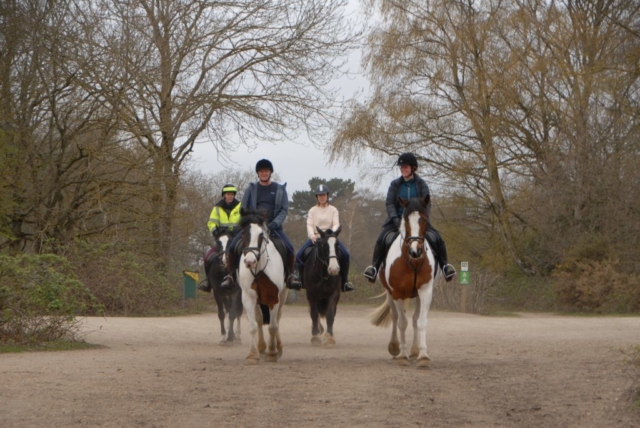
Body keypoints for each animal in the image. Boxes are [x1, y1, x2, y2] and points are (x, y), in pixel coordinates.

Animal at [236, 209, 288, 362]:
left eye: (261, 235)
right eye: (243, 233)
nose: (250, 261)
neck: (259, 269)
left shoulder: (273, 297)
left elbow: (273, 326)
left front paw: (272, 352)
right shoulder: (248, 297)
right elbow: (253, 325)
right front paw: (253, 354)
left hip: (283, 295)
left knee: (277, 319)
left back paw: (278, 347)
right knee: (259, 320)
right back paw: (261, 347)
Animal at [368, 196, 438, 366]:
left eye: (424, 219)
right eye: (405, 220)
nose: (416, 251)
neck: (411, 260)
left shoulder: (425, 291)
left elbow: (421, 321)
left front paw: (423, 355)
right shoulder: (398, 292)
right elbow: (401, 322)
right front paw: (402, 355)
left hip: (416, 295)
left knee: (414, 319)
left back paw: (414, 351)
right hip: (390, 293)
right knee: (395, 316)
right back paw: (395, 347)